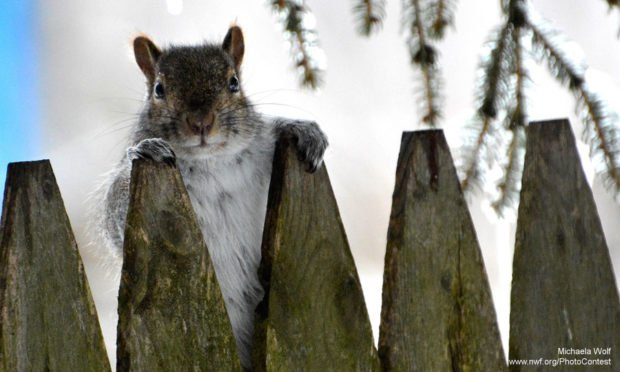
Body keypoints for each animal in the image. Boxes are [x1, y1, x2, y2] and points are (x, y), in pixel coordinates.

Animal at [94, 25, 326, 370]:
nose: (201, 122)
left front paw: (303, 131)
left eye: (234, 82)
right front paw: (146, 149)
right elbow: (114, 215)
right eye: (159, 89)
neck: (210, 161)